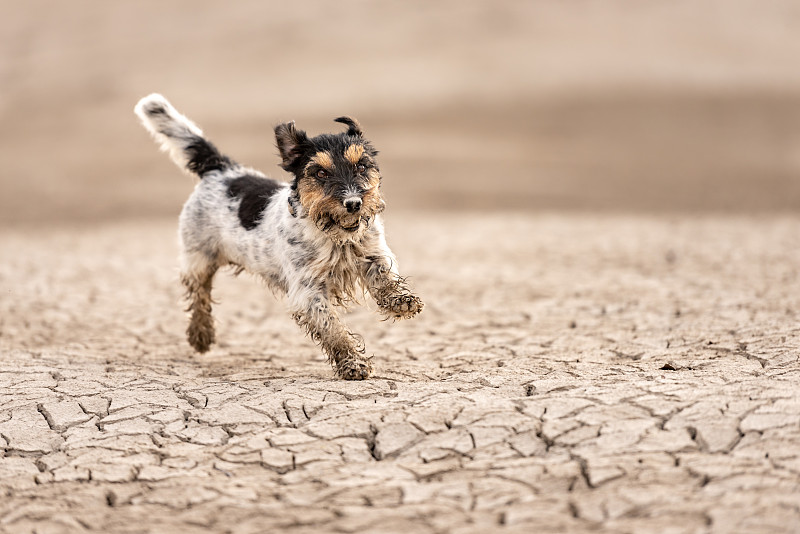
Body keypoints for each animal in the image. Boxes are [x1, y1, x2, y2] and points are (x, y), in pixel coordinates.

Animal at [136, 94, 424, 378]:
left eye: (362, 166)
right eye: (320, 172)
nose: (353, 203)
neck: (334, 236)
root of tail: (221, 169)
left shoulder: (373, 254)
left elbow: (386, 279)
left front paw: (401, 301)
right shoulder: (308, 290)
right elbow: (332, 326)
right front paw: (352, 362)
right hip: (198, 257)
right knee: (199, 294)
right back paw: (201, 335)